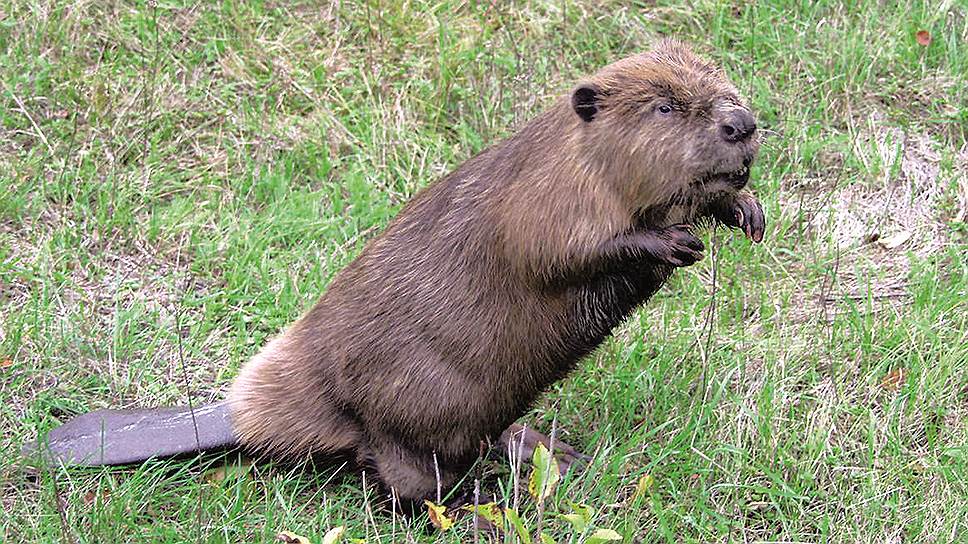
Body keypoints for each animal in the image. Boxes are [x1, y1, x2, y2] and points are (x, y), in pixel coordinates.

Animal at [26, 39, 764, 510]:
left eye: (720, 84)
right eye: (664, 107)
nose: (743, 122)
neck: (580, 156)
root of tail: (237, 418)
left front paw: (745, 212)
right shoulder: (544, 196)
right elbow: (563, 251)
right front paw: (677, 241)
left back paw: (547, 449)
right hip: (408, 410)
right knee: (403, 483)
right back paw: (480, 501)